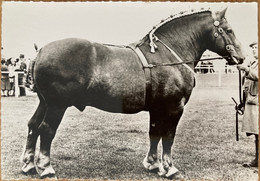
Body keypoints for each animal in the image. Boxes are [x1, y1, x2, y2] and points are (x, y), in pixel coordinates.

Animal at [21, 8, 245, 178]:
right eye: (228, 30)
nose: (241, 58)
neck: (168, 56)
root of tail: (41, 51)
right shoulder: (174, 108)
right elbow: (168, 136)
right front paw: (170, 168)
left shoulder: (157, 109)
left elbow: (154, 133)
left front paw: (153, 164)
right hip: (57, 105)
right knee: (46, 130)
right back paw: (46, 168)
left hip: (44, 102)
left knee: (33, 126)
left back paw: (28, 165)